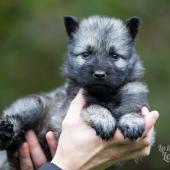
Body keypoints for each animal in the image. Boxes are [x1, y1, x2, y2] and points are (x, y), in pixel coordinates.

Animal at [0, 15, 150, 169]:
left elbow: (131, 109)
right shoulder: (66, 114)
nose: (99, 74)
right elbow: (94, 106)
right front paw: (104, 119)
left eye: (114, 56)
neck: (104, 94)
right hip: (36, 104)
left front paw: (132, 121)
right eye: (86, 55)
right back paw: (6, 131)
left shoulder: (134, 95)